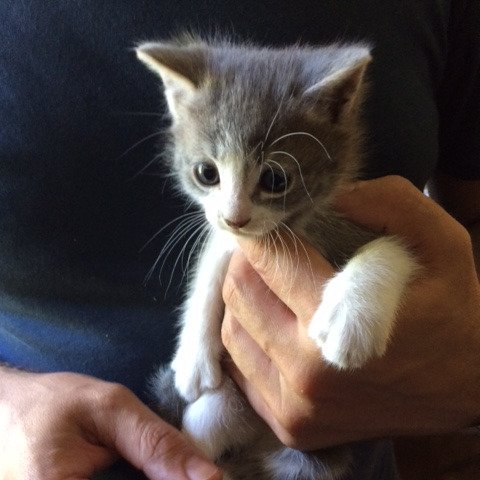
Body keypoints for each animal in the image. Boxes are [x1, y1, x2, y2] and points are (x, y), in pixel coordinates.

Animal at [137, 38, 418, 480]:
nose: (234, 216)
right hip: (224, 408)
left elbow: (395, 247)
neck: (296, 226)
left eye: (275, 180)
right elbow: (214, 259)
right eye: (206, 173)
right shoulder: (234, 238)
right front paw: (191, 359)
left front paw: (351, 316)